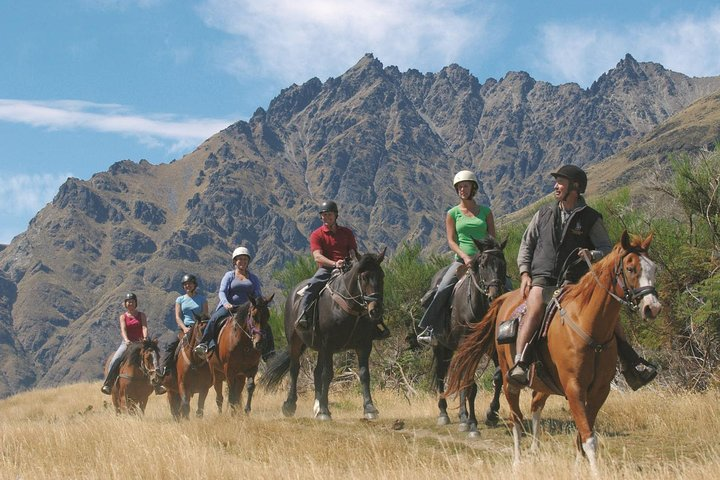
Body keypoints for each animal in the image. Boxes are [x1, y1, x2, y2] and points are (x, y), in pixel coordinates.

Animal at [262, 251, 386, 420]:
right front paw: (324, 412)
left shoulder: (364, 345)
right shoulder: (328, 345)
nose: (375, 310)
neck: (348, 309)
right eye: (364, 277)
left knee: (315, 372)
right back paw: (290, 406)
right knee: (294, 369)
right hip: (295, 342)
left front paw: (369, 408)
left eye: (382, 276)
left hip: (319, 348)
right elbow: (327, 375)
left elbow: (364, 374)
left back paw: (316, 406)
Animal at [428, 235, 506, 436]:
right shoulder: (467, 347)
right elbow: (469, 383)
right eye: (483, 264)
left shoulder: (491, 347)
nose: (494, 294)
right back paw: (444, 413)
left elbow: (498, 377)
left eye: (502, 263)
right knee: (441, 375)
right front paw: (471, 423)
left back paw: (462, 414)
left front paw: (491, 414)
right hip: (441, 347)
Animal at [448, 232, 660, 472]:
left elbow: (583, 431)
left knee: (535, 406)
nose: (652, 307)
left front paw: (578, 466)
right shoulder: (574, 388)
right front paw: (594, 471)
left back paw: (534, 449)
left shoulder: (599, 391)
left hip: (543, 382)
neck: (588, 325)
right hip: (509, 381)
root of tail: (504, 298)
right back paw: (517, 460)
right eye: (631, 268)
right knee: (516, 419)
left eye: (653, 268)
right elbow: (589, 436)